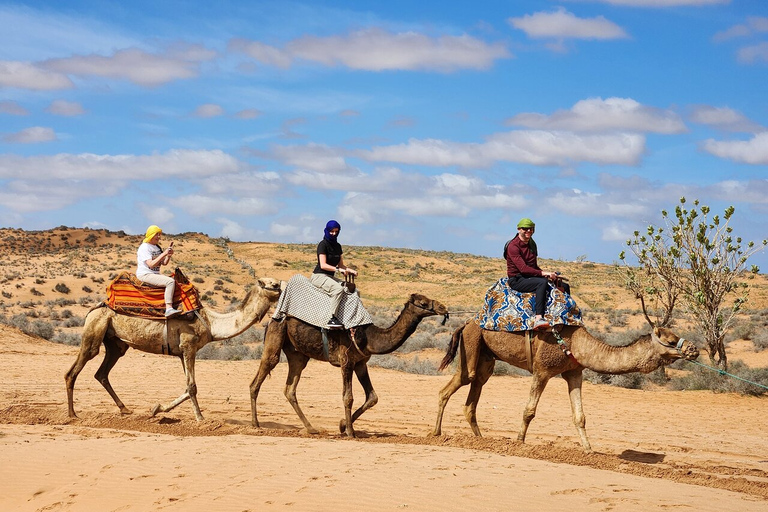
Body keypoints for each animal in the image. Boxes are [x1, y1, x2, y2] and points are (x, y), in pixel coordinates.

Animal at [66, 278, 282, 422]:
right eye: (273, 285)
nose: (282, 286)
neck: (211, 323)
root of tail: (94, 308)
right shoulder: (189, 346)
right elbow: (192, 386)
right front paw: (200, 418)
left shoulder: (181, 352)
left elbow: (188, 387)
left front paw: (157, 408)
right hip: (94, 331)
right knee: (73, 371)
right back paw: (72, 414)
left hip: (115, 343)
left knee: (102, 373)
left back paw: (125, 409)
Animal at [249, 294, 448, 438]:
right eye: (423, 302)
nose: (443, 307)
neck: (370, 338)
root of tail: (273, 318)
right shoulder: (346, 362)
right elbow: (348, 397)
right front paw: (351, 432)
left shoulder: (360, 364)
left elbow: (372, 397)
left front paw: (342, 425)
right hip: (276, 336)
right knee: (260, 376)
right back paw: (255, 424)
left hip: (298, 355)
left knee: (290, 388)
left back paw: (311, 428)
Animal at [428, 322, 700, 450]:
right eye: (671, 340)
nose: (694, 349)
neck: (578, 344)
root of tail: (465, 323)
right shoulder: (542, 370)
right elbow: (529, 411)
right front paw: (519, 443)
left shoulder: (574, 373)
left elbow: (580, 416)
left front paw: (590, 451)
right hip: (472, 344)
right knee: (454, 385)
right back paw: (436, 433)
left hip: (486, 357)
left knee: (472, 396)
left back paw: (481, 440)